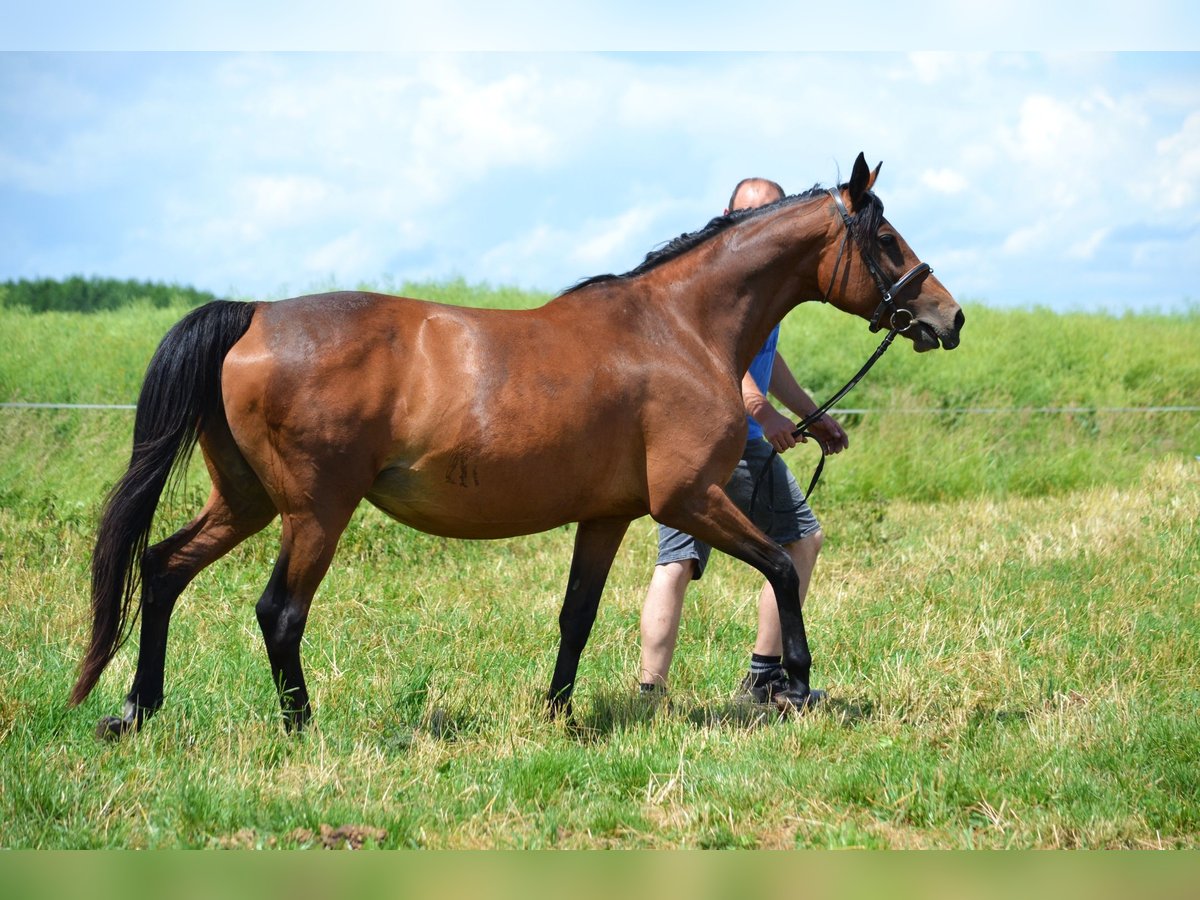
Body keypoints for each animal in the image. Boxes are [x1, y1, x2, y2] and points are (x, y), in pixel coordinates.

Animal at [68, 153, 964, 739]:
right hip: (315, 511)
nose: (947, 317)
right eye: (886, 238)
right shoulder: (689, 501)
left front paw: (559, 714)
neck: (678, 329)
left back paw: (135, 710)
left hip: (247, 501)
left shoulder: (608, 517)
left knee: (162, 568)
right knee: (278, 613)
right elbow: (780, 567)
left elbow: (577, 615)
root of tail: (251, 315)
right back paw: (301, 727)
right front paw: (800, 682)